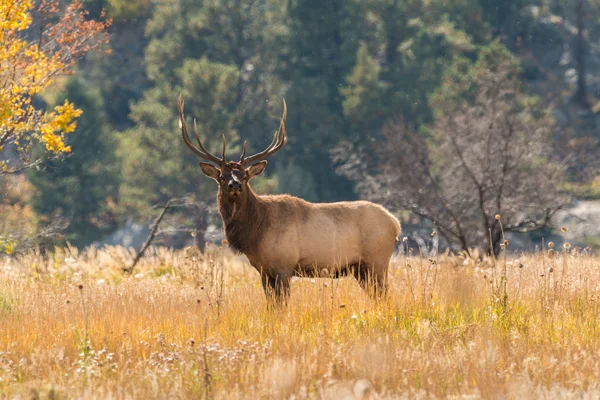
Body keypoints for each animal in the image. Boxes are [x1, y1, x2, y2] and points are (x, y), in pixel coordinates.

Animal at [178, 96, 404, 304]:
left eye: (245, 176)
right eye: (222, 177)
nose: (235, 185)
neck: (256, 232)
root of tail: (396, 223)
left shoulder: (284, 266)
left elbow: (282, 305)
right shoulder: (264, 270)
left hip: (377, 261)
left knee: (386, 296)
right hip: (361, 269)